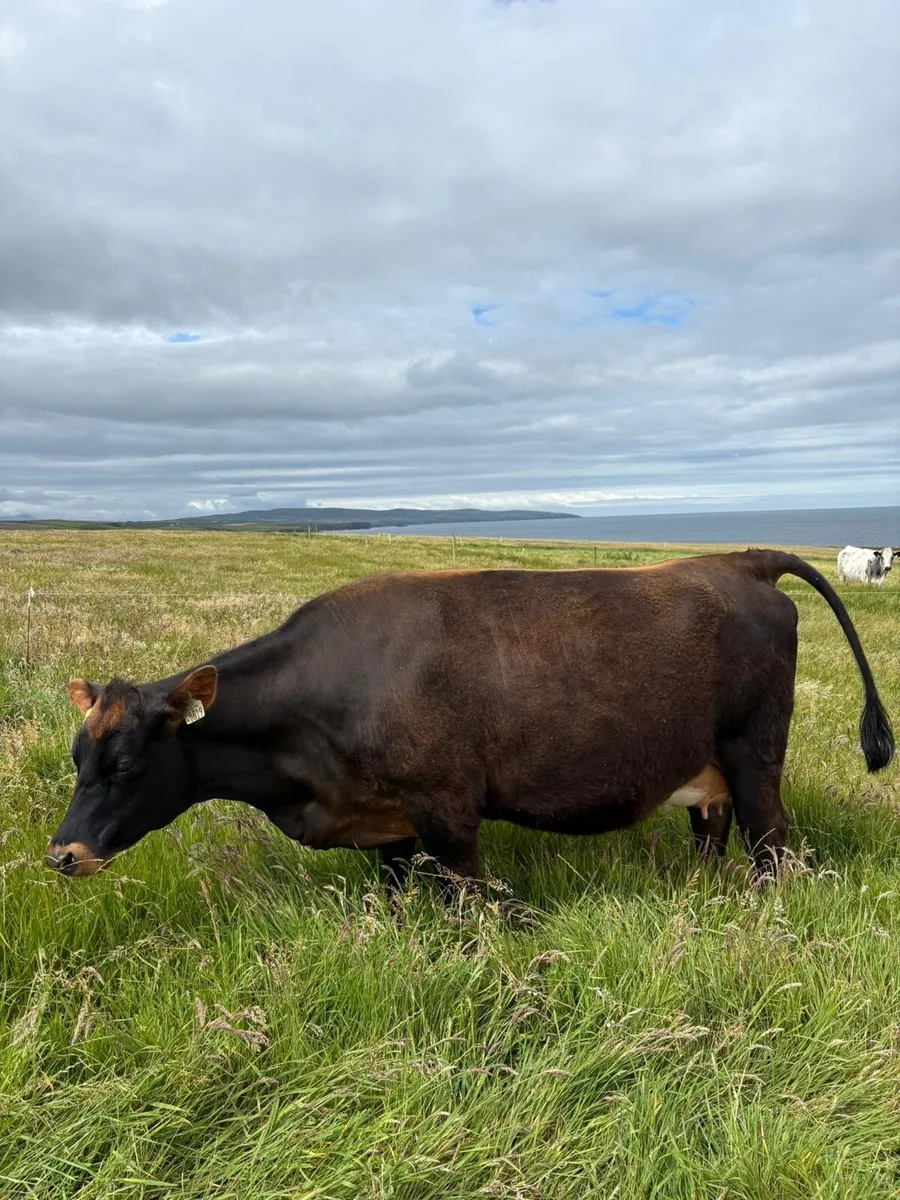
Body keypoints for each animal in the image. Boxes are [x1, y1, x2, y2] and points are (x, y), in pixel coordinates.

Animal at [45, 550, 894, 893]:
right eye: (78, 761)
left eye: (126, 766)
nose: (62, 854)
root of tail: (737, 561)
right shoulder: (387, 824)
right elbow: (395, 893)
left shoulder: (448, 810)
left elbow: (470, 902)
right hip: (703, 767)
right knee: (711, 833)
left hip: (756, 758)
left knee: (771, 843)